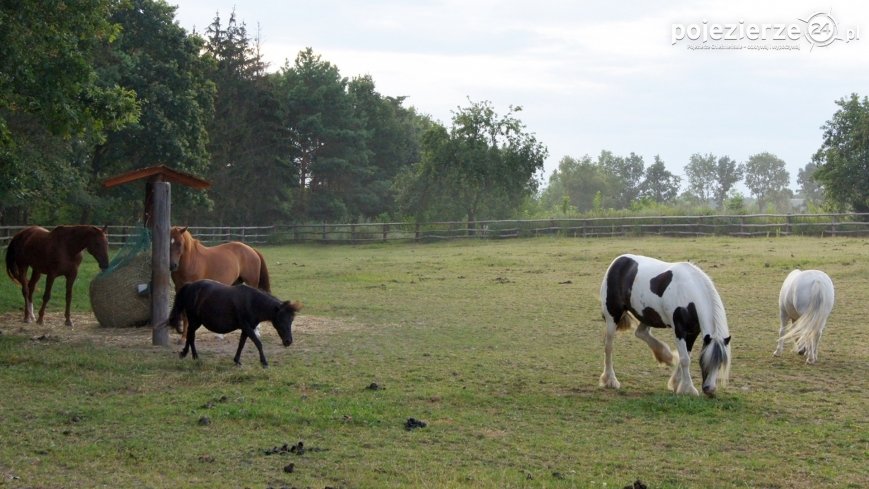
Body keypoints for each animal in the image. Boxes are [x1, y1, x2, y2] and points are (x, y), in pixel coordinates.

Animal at [167, 278, 302, 366]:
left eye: (291, 320)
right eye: (280, 319)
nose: (288, 341)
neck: (252, 302)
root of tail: (190, 286)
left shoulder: (247, 328)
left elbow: (241, 344)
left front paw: (237, 360)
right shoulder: (246, 326)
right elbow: (258, 343)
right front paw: (264, 362)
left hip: (197, 321)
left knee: (190, 335)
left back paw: (186, 354)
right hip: (194, 320)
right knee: (191, 336)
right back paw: (194, 356)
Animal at [600, 254, 728, 394]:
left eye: (720, 364)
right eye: (704, 361)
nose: (709, 389)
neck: (688, 293)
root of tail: (618, 260)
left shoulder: (693, 332)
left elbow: (687, 355)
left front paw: (677, 383)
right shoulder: (680, 330)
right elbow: (685, 359)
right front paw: (689, 388)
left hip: (647, 315)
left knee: (640, 333)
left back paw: (666, 355)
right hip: (612, 316)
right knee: (608, 346)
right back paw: (610, 380)